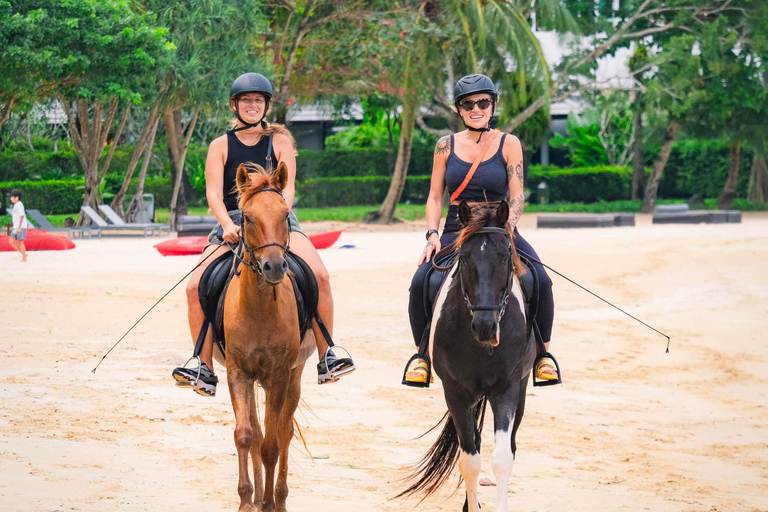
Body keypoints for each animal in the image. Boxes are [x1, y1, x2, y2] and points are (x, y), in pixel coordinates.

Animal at [225, 162, 316, 510]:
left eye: (285, 214)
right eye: (247, 217)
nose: (274, 266)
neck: (260, 308)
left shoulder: (278, 376)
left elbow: (273, 446)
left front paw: (266, 503)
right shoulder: (238, 373)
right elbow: (246, 436)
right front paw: (246, 499)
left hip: (294, 376)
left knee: (285, 432)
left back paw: (279, 498)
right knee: (259, 431)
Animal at [402, 200, 536, 512]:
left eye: (505, 256)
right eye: (463, 258)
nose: (485, 326)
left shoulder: (507, 388)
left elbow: (502, 458)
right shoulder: (456, 392)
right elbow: (469, 460)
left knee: (510, 445)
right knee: (473, 443)